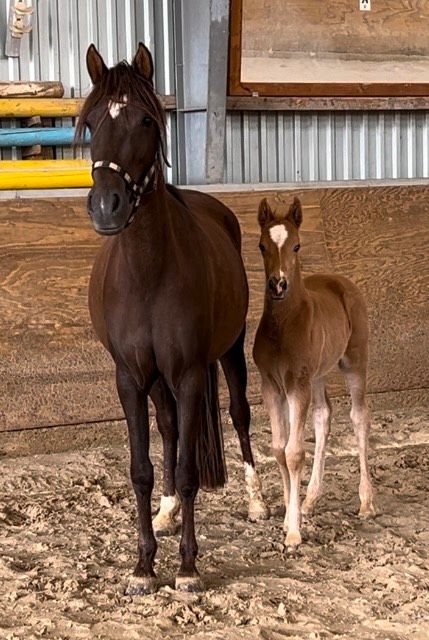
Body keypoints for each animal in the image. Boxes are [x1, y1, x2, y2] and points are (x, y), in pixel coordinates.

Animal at [79, 45, 268, 596]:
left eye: (146, 119)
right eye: (91, 121)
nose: (107, 207)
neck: (147, 273)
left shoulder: (188, 374)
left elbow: (188, 470)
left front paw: (186, 567)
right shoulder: (130, 378)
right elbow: (142, 467)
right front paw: (144, 565)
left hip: (228, 354)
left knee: (239, 416)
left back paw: (257, 502)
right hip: (158, 380)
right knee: (167, 430)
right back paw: (165, 512)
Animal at [252, 198, 372, 548]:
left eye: (296, 245)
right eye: (262, 245)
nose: (278, 284)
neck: (283, 327)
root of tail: (342, 282)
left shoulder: (297, 385)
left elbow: (293, 453)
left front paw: (294, 532)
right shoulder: (272, 387)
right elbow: (278, 449)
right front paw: (290, 516)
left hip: (354, 363)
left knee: (359, 417)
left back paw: (366, 502)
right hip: (318, 375)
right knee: (323, 416)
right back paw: (310, 498)